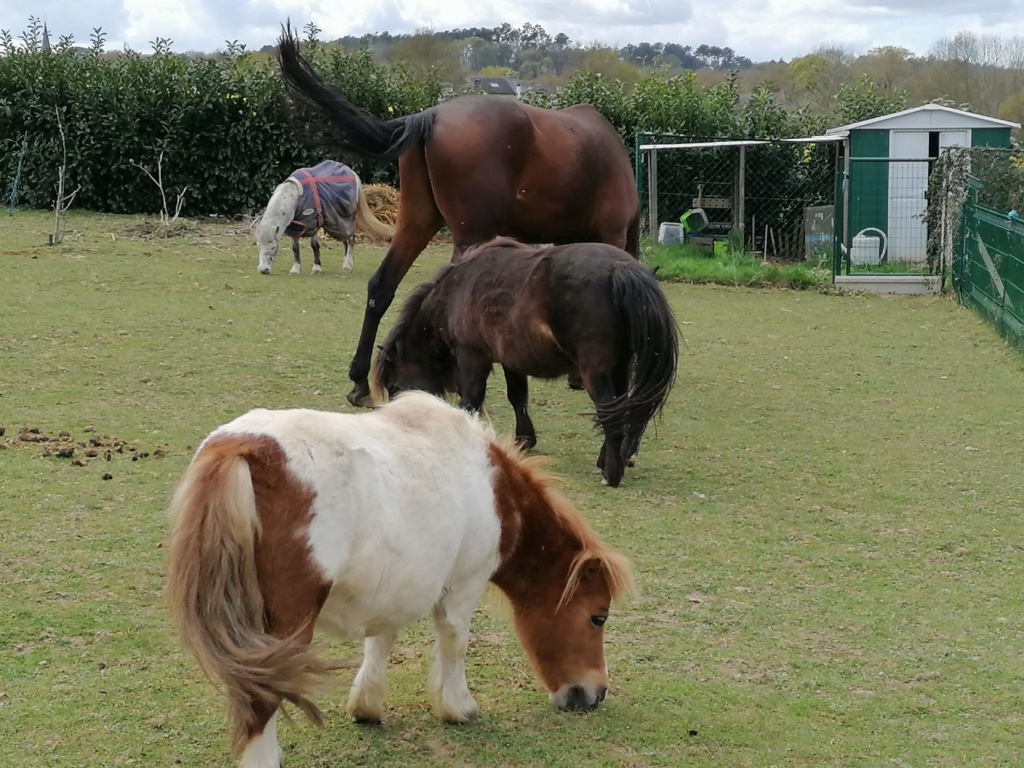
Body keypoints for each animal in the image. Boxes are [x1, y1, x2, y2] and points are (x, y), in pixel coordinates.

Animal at [165, 393, 630, 765]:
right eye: (598, 617)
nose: (596, 694)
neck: (494, 489)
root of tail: (241, 447)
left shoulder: (391, 586)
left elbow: (380, 639)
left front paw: (367, 705)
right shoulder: (464, 586)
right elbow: (454, 642)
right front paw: (459, 707)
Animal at [272, 28, 638, 409]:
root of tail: (430, 116)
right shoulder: (611, 234)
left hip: (417, 223)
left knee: (381, 286)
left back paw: (360, 381)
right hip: (469, 235)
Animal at [372, 237, 675, 487]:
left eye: (394, 385)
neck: (456, 289)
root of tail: (621, 268)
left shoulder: (472, 354)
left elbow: (471, 399)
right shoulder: (511, 359)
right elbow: (517, 396)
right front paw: (524, 440)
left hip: (595, 372)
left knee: (608, 412)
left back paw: (611, 473)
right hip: (621, 367)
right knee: (620, 410)